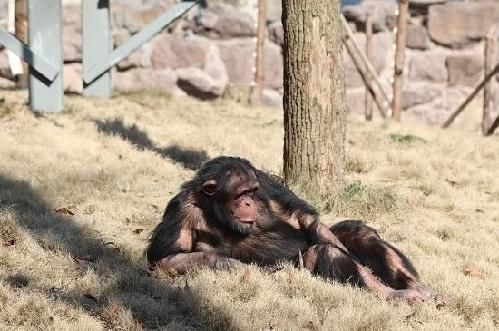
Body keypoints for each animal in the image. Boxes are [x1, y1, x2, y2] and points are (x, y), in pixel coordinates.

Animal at [146, 156, 440, 304]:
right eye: (240, 194)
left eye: (252, 191)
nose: (249, 202)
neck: (215, 208)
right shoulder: (180, 211)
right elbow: (164, 259)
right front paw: (229, 265)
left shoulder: (265, 182)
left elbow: (299, 215)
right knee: (324, 253)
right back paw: (398, 295)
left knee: (355, 235)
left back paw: (416, 287)